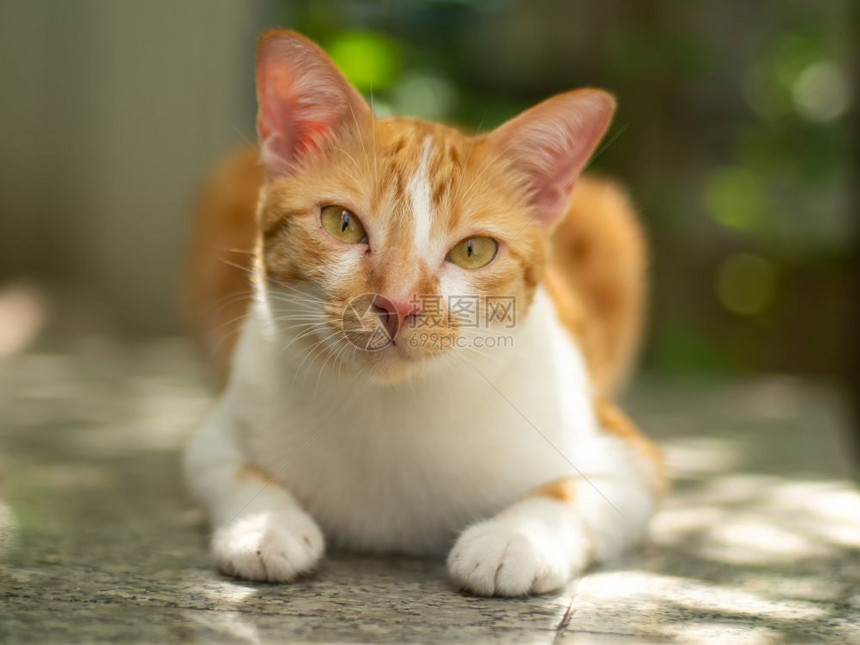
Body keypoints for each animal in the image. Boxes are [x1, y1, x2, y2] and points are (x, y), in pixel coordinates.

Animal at [183, 28, 664, 592]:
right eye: (342, 223)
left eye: (473, 250)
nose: (397, 304)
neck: (393, 413)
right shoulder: (214, 439)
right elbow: (236, 471)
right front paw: (265, 526)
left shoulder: (630, 461)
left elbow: (569, 492)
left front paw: (515, 540)